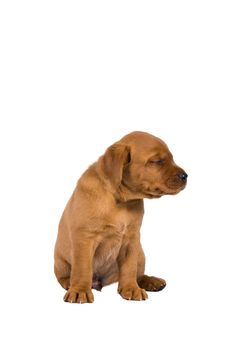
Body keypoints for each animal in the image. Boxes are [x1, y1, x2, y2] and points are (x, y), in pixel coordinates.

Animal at [53, 132, 187, 304]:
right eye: (157, 161)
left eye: (172, 158)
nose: (185, 176)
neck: (120, 199)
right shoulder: (84, 238)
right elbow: (83, 268)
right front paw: (80, 291)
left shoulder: (132, 238)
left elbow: (129, 268)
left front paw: (131, 288)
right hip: (60, 260)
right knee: (65, 275)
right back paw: (69, 283)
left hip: (140, 253)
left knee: (138, 274)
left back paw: (151, 281)